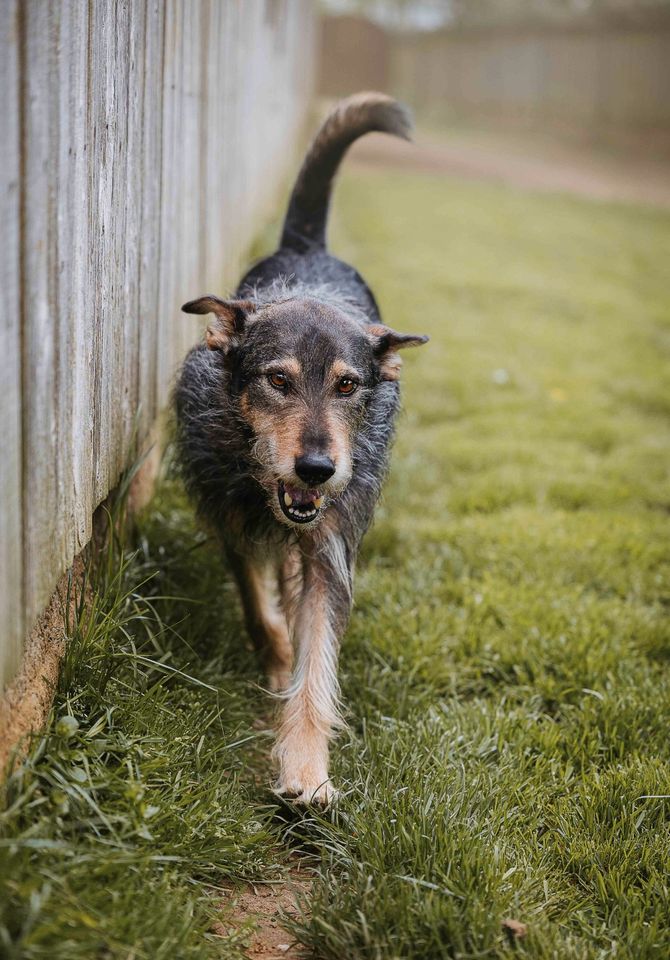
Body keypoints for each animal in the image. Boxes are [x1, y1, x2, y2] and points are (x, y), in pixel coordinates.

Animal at [177, 95, 430, 804]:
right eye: (278, 380)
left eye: (347, 385)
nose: (317, 468)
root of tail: (307, 247)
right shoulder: (230, 520)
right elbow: (260, 612)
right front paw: (277, 662)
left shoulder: (328, 547)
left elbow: (317, 659)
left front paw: (307, 769)